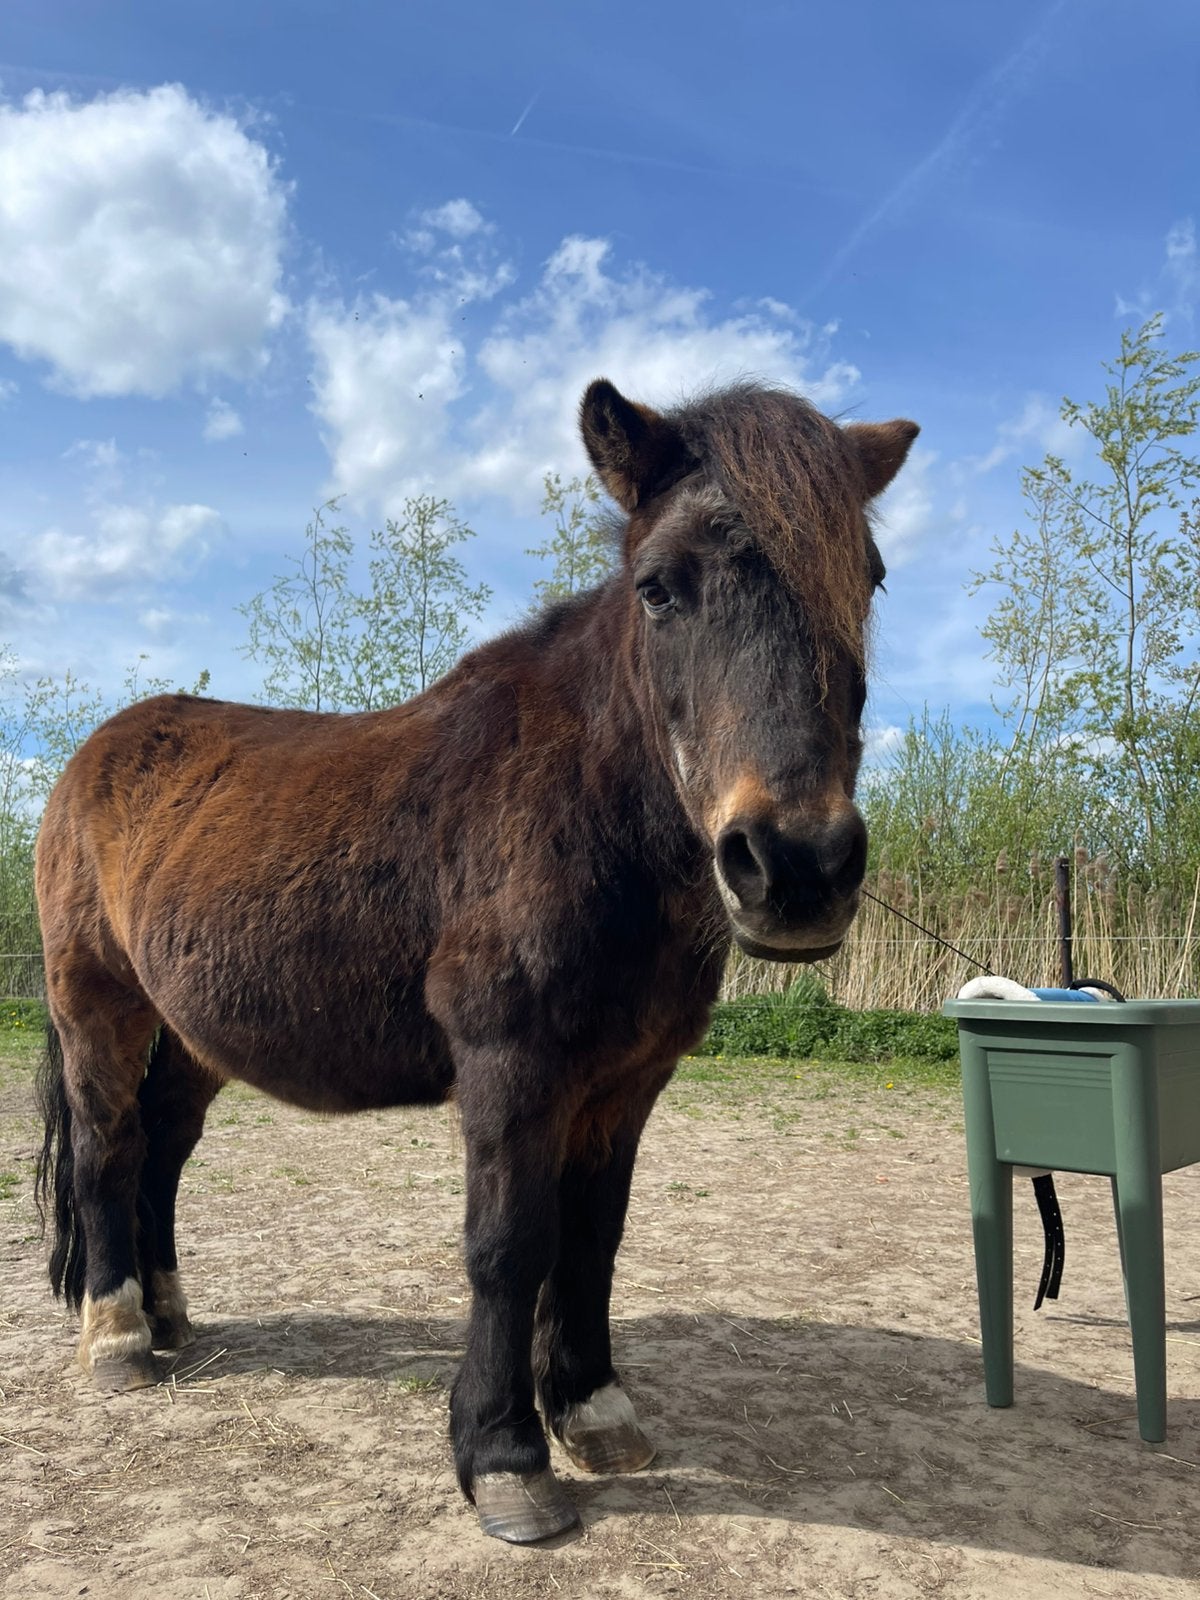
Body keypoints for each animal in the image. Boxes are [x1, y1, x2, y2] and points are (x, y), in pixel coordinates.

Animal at [34, 377, 917, 1543]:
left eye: (868, 577)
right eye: (658, 588)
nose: (798, 865)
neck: (585, 810)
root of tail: (94, 755)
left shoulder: (626, 1082)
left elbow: (593, 1237)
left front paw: (592, 1411)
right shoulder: (511, 1067)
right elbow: (509, 1245)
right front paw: (504, 1456)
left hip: (191, 1033)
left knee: (164, 1149)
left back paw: (171, 1313)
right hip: (95, 1001)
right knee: (108, 1147)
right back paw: (120, 1337)